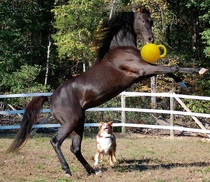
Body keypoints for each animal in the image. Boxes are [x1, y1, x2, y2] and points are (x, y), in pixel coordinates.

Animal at [6, 7, 207, 177]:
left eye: (151, 21)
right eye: (143, 20)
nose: (151, 39)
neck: (121, 49)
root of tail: (51, 98)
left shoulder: (142, 73)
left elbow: (168, 70)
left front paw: (183, 84)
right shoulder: (142, 70)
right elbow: (171, 67)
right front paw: (199, 71)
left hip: (78, 123)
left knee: (75, 148)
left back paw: (92, 171)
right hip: (70, 122)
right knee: (56, 142)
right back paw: (67, 171)